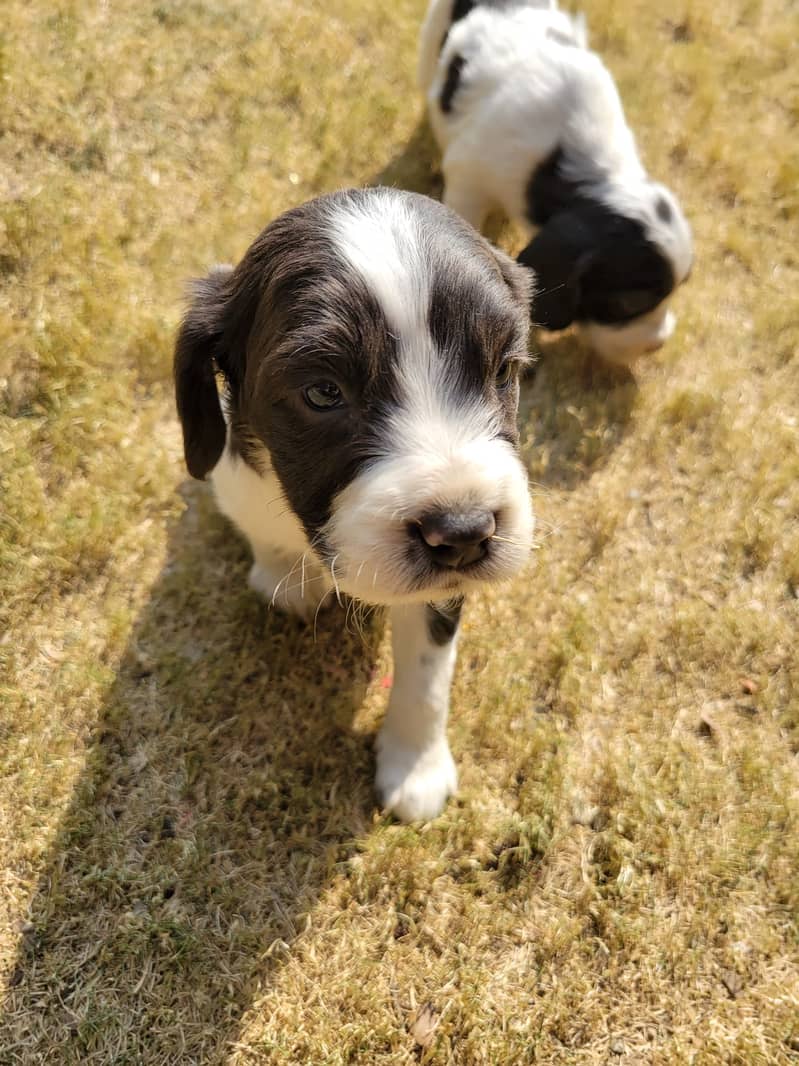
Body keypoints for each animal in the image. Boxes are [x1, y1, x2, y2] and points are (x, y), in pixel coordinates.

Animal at [174, 187, 539, 822]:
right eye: (323, 392)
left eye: (503, 369)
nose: (463, 532)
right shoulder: (234, 474)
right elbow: (258, 524)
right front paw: (284, 579)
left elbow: (427, 670)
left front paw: (415, 766)